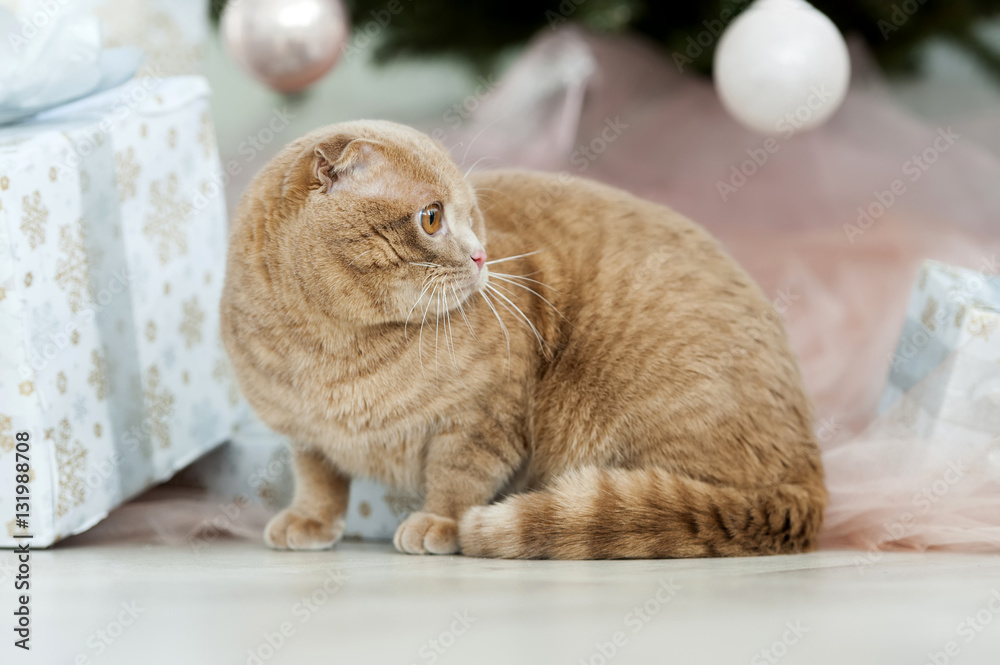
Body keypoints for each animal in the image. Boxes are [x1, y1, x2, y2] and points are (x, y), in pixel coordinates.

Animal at [221, 120, 828, 560]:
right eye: (432, 218)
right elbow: (319, 480)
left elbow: (457, 478)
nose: (480, 256)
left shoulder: (483, 419)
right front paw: (311, 521)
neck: (333, 353)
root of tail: (810, 477)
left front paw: (440, 523)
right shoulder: (305, 436)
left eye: (474, 218)